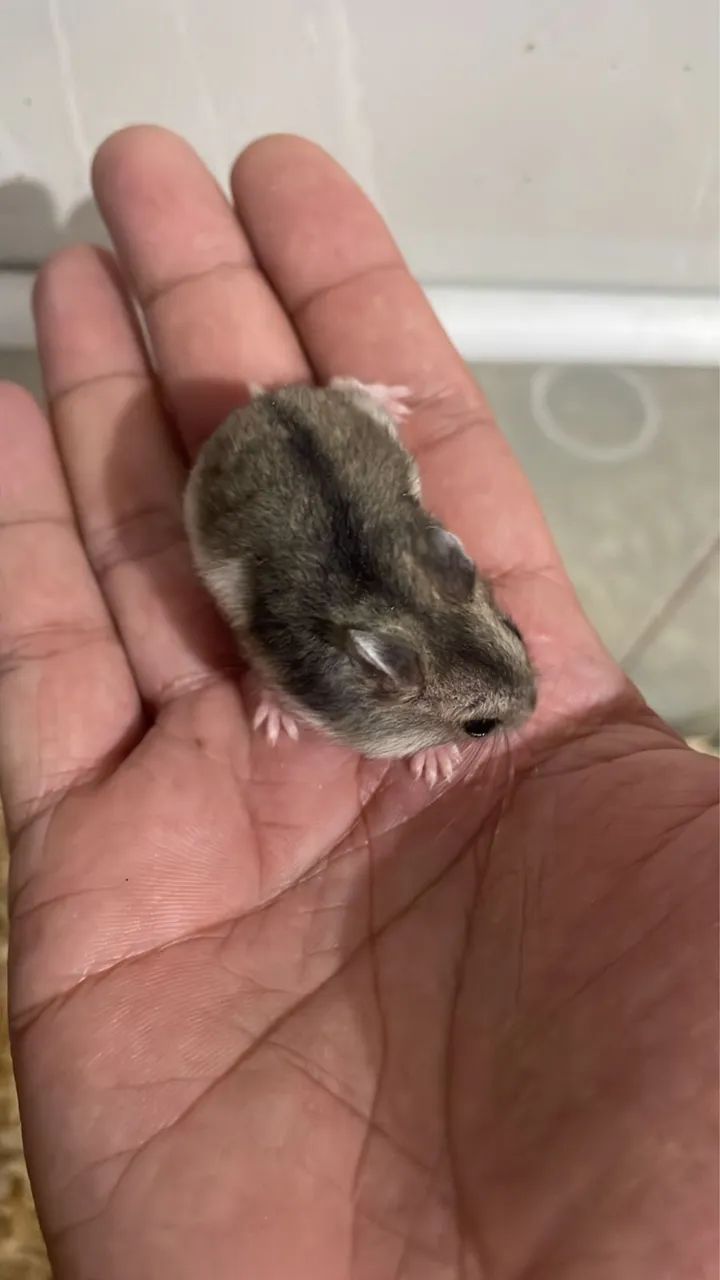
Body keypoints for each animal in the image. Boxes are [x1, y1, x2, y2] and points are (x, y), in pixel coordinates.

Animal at [183, 377, 536, 784]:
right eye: (479, 726)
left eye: (518, 632)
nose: (535, 705)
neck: (407, 612)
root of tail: (265, 401)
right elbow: (268, 686)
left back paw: (396, 402)